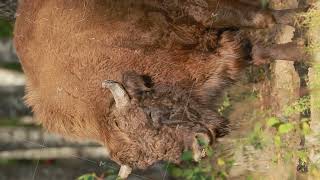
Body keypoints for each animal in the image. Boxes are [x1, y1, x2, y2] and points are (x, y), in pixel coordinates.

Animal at [14, 0, 308, 178]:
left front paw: (302, 19)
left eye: (151, 116)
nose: (202, 141)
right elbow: (257, 51)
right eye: (161, 156)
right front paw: (302, 48)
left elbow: (262, 20)